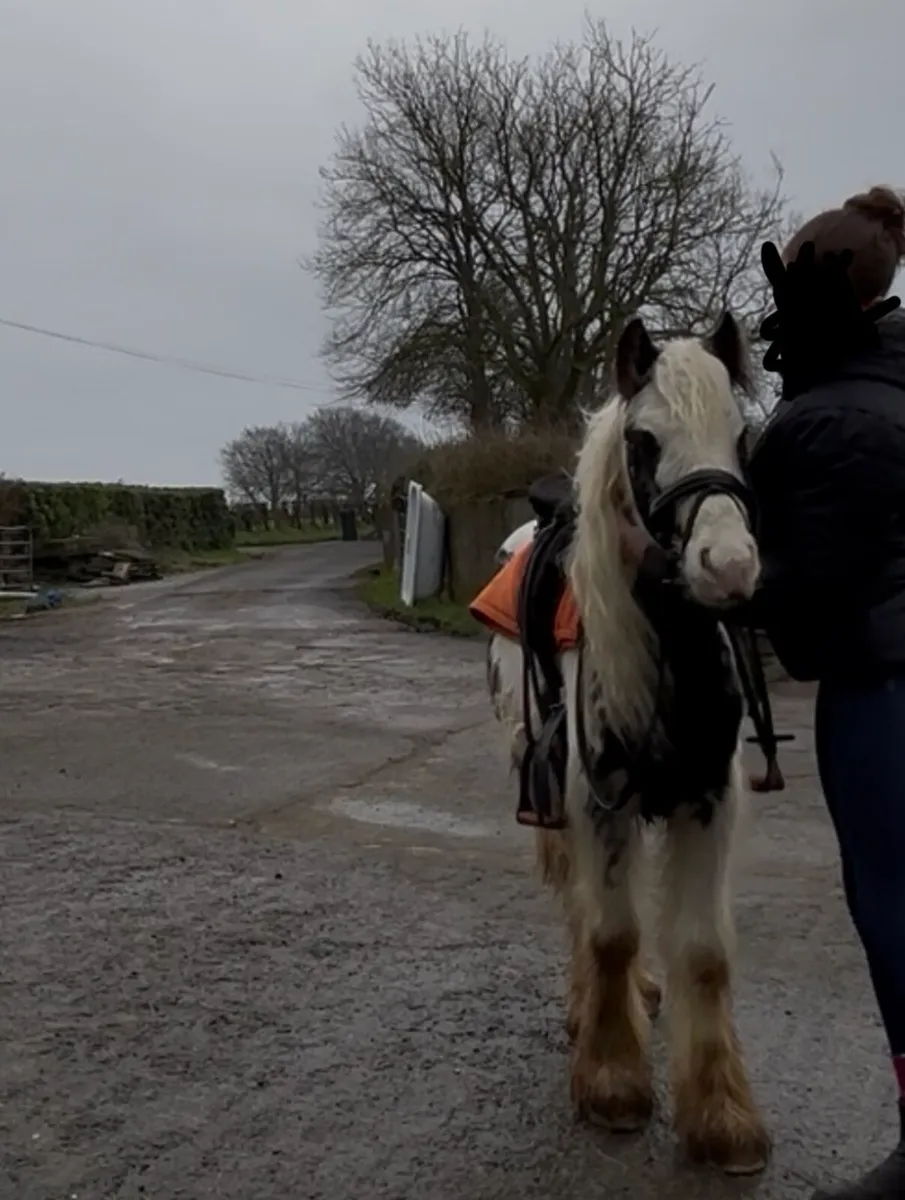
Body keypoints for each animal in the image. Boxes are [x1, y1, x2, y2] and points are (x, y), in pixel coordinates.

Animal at [474, 312, 770, 1176]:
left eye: (743, 436)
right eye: (643, 441)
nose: (728, 567)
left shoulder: (706, 800)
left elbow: (702, 951)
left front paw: (721, 1116)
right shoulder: (596, 800)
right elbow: (609, 933)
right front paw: (611, 1080)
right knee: (583, 903)